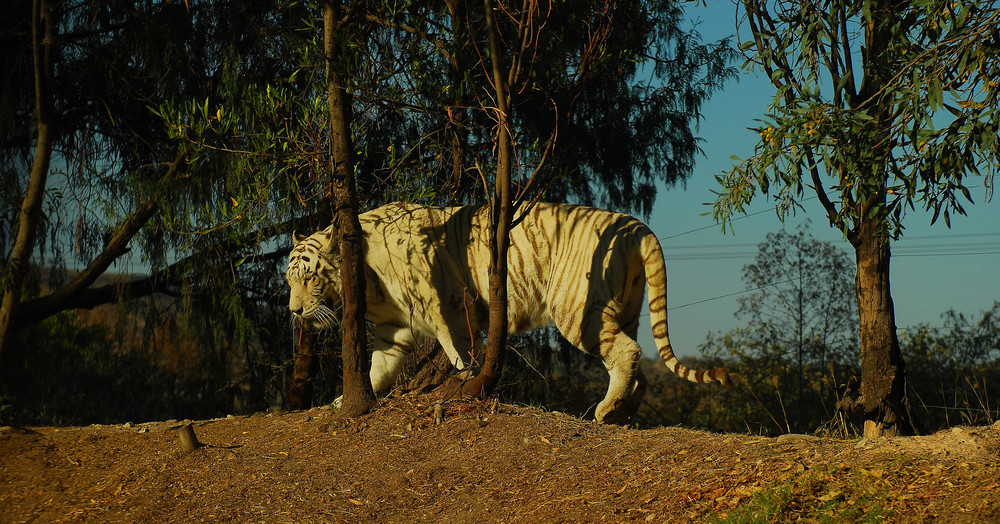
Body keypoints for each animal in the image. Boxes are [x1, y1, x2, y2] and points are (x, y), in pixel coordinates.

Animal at [286, 203, 732, 424]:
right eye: (288, 281)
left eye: (308, 278)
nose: (293, 310)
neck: (365, 276)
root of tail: (639, 227)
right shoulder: (392, 329)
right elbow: (378, 369)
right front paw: (341, 403)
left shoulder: (444, 303)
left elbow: (458, 349)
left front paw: (467, 381)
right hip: (626, 308)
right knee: (639, 360)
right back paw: (625, 412)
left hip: (579, 310)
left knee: (627, 352)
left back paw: (605, 411)